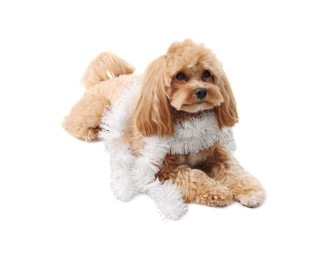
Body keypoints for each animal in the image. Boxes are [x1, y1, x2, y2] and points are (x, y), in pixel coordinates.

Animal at [64, 39, 266, 218]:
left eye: (207, 73)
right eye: (180, 76)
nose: (201, 91)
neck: (189, 121)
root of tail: (103, 81)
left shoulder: (217, 153)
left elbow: (234, 170)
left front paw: (250, 190)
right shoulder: (161, 169)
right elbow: (192, 175)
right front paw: (217, 190)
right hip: (93, 112)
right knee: (71, 123)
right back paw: (92, 132)